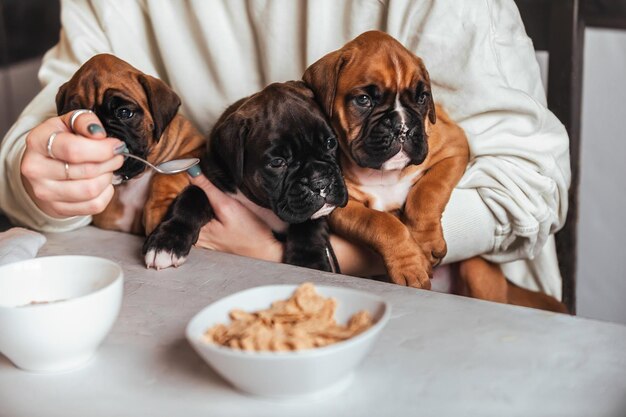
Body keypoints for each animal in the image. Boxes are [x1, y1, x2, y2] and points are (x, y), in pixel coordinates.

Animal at [141, 80, 346, 272]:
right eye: (277, 162)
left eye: (330, 143)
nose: (321, 182)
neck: (261, 204)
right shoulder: (213, 185)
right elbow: (192, 196)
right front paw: (167, 242)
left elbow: (310, 224)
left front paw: (308, 261)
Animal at [302, 30, 468, 290]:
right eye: (363, 100)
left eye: (422, 97)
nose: (403, 127)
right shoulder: (339, 205)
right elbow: (381, 223)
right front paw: (409, 264)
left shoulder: (455, 148)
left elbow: (428, 191)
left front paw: (425, 241)